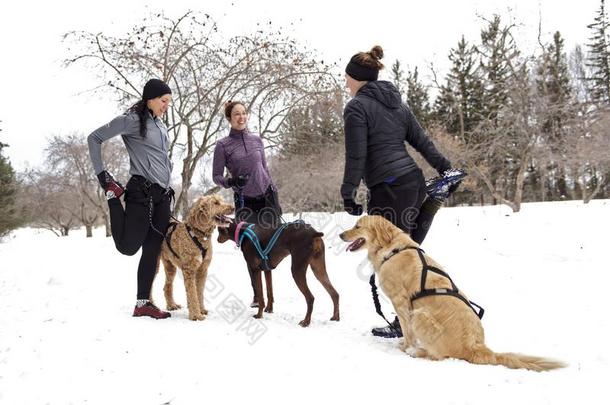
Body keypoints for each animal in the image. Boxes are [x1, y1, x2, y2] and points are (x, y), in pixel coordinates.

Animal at [340, 216, 564, 370]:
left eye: (358, 226)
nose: (341, 235)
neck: (392, 249)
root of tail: (479, 348)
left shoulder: (401, 303)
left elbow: (406, 331)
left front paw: (404, 346)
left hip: (420, 315)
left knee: (438, 356)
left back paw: (416, 351)